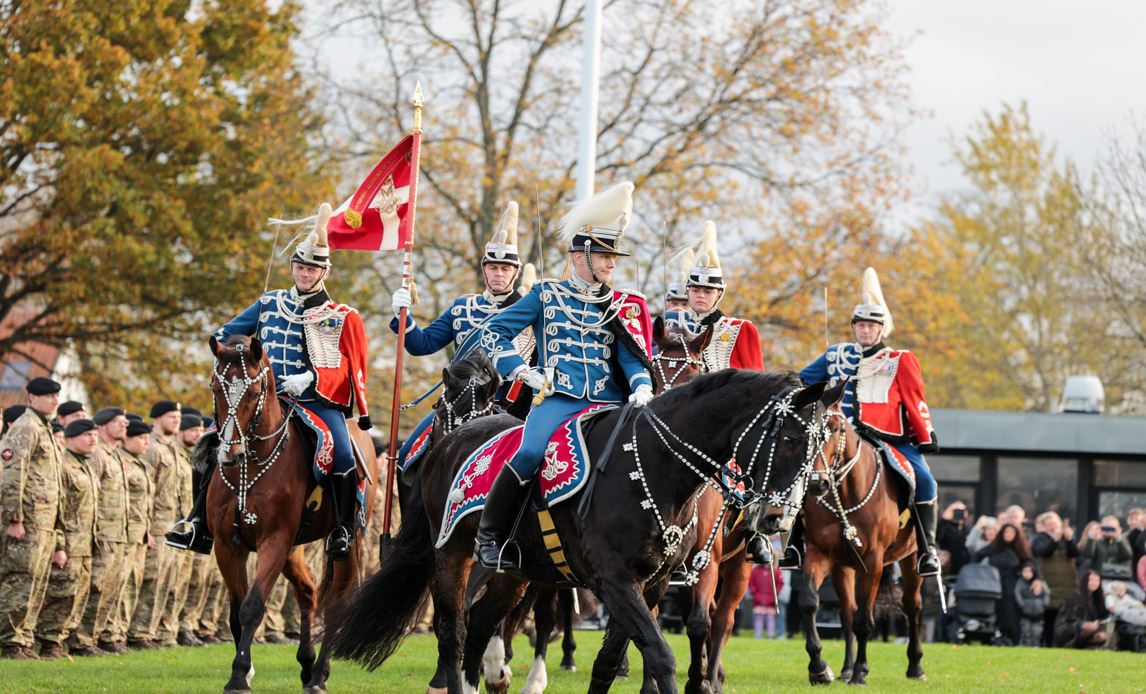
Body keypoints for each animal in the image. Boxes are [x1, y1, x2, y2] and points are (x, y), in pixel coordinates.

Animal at [203, 336, 378, 694]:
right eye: (215, 387)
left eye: (254, 392)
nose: (230, 454)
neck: (250, 466)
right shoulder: (228, 546)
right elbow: (235, 611)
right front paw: (246, 671)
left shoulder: (274, 540)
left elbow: (252, 607)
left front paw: (239, 675)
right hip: (295, 548)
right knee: (308, 590)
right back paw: (307, 664)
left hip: (348, 542)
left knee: (336, 601)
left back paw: (320, 674)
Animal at [323, 375, 834, 694]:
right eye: (791, 439)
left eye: (820, 445)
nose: (779, 519)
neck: (654, 469)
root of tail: (445, 443)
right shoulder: (615, 582)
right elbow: (660, 656)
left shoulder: (650, 586)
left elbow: (612, 661)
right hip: (452, 556)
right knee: (453, 631)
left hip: (515, 571)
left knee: (483, 624)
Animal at [793, 405, 925, 687]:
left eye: (834, 429)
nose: (816, 484)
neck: (846, 492)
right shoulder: (820, 554)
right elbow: (809, 601)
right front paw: (819, 667)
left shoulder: (873, 562)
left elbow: (865, 620)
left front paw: (861, 672)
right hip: (843, 567)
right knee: (847, 613)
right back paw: (845, 669)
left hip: (911, 559)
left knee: (912, 606)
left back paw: (915, 666)